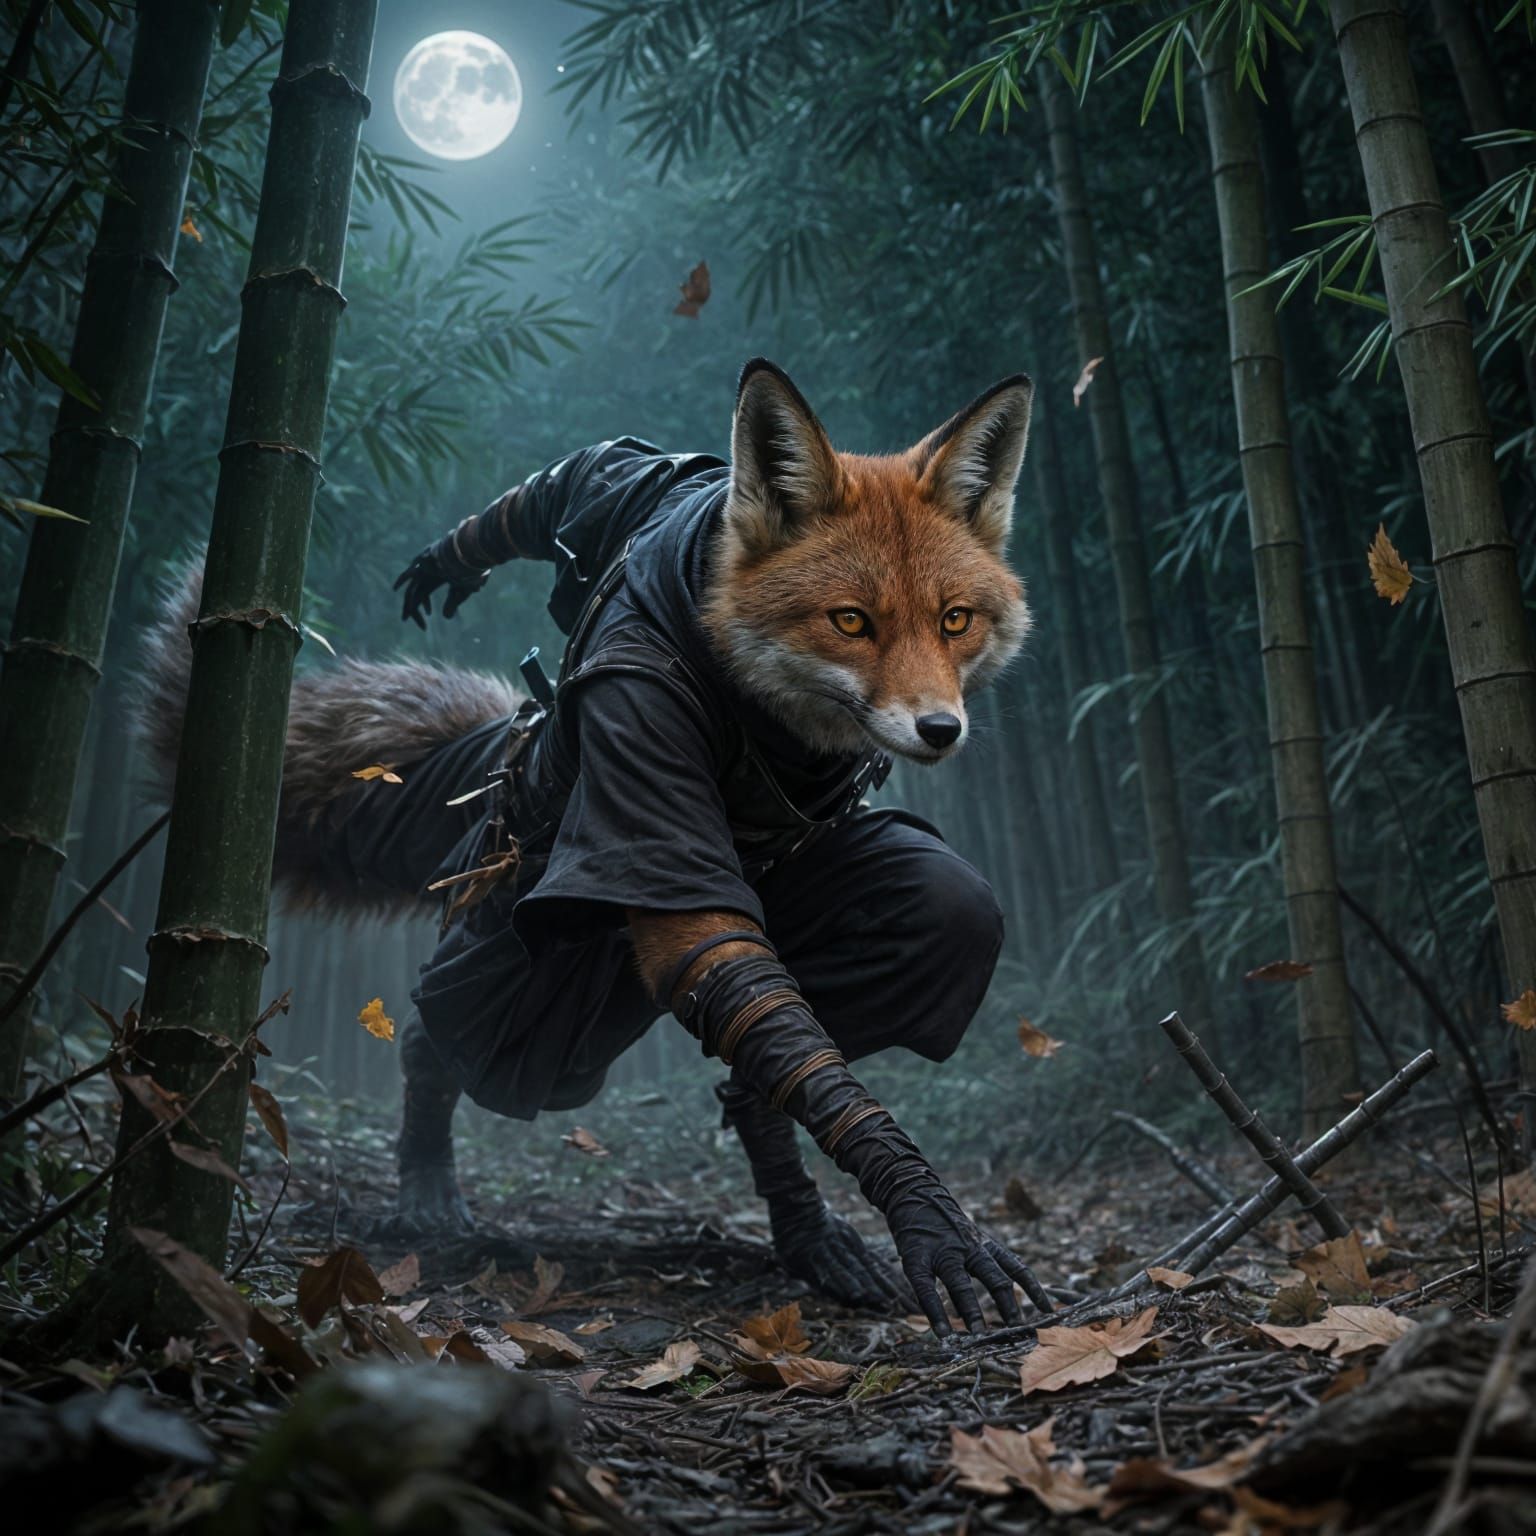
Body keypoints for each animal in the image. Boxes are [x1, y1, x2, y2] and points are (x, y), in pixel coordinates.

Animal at [139, 359, 1048, 1333]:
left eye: (954, 621)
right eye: (850, 622)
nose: (940, 730)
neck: (776, 728)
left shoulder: (658, 485)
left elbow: (587, 475)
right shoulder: (639, 716)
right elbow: (579, 483)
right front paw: (922, 1206)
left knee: (913, 939)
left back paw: (793, 1206)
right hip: (513, 973)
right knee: (436, 1026)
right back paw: (426, 1177)